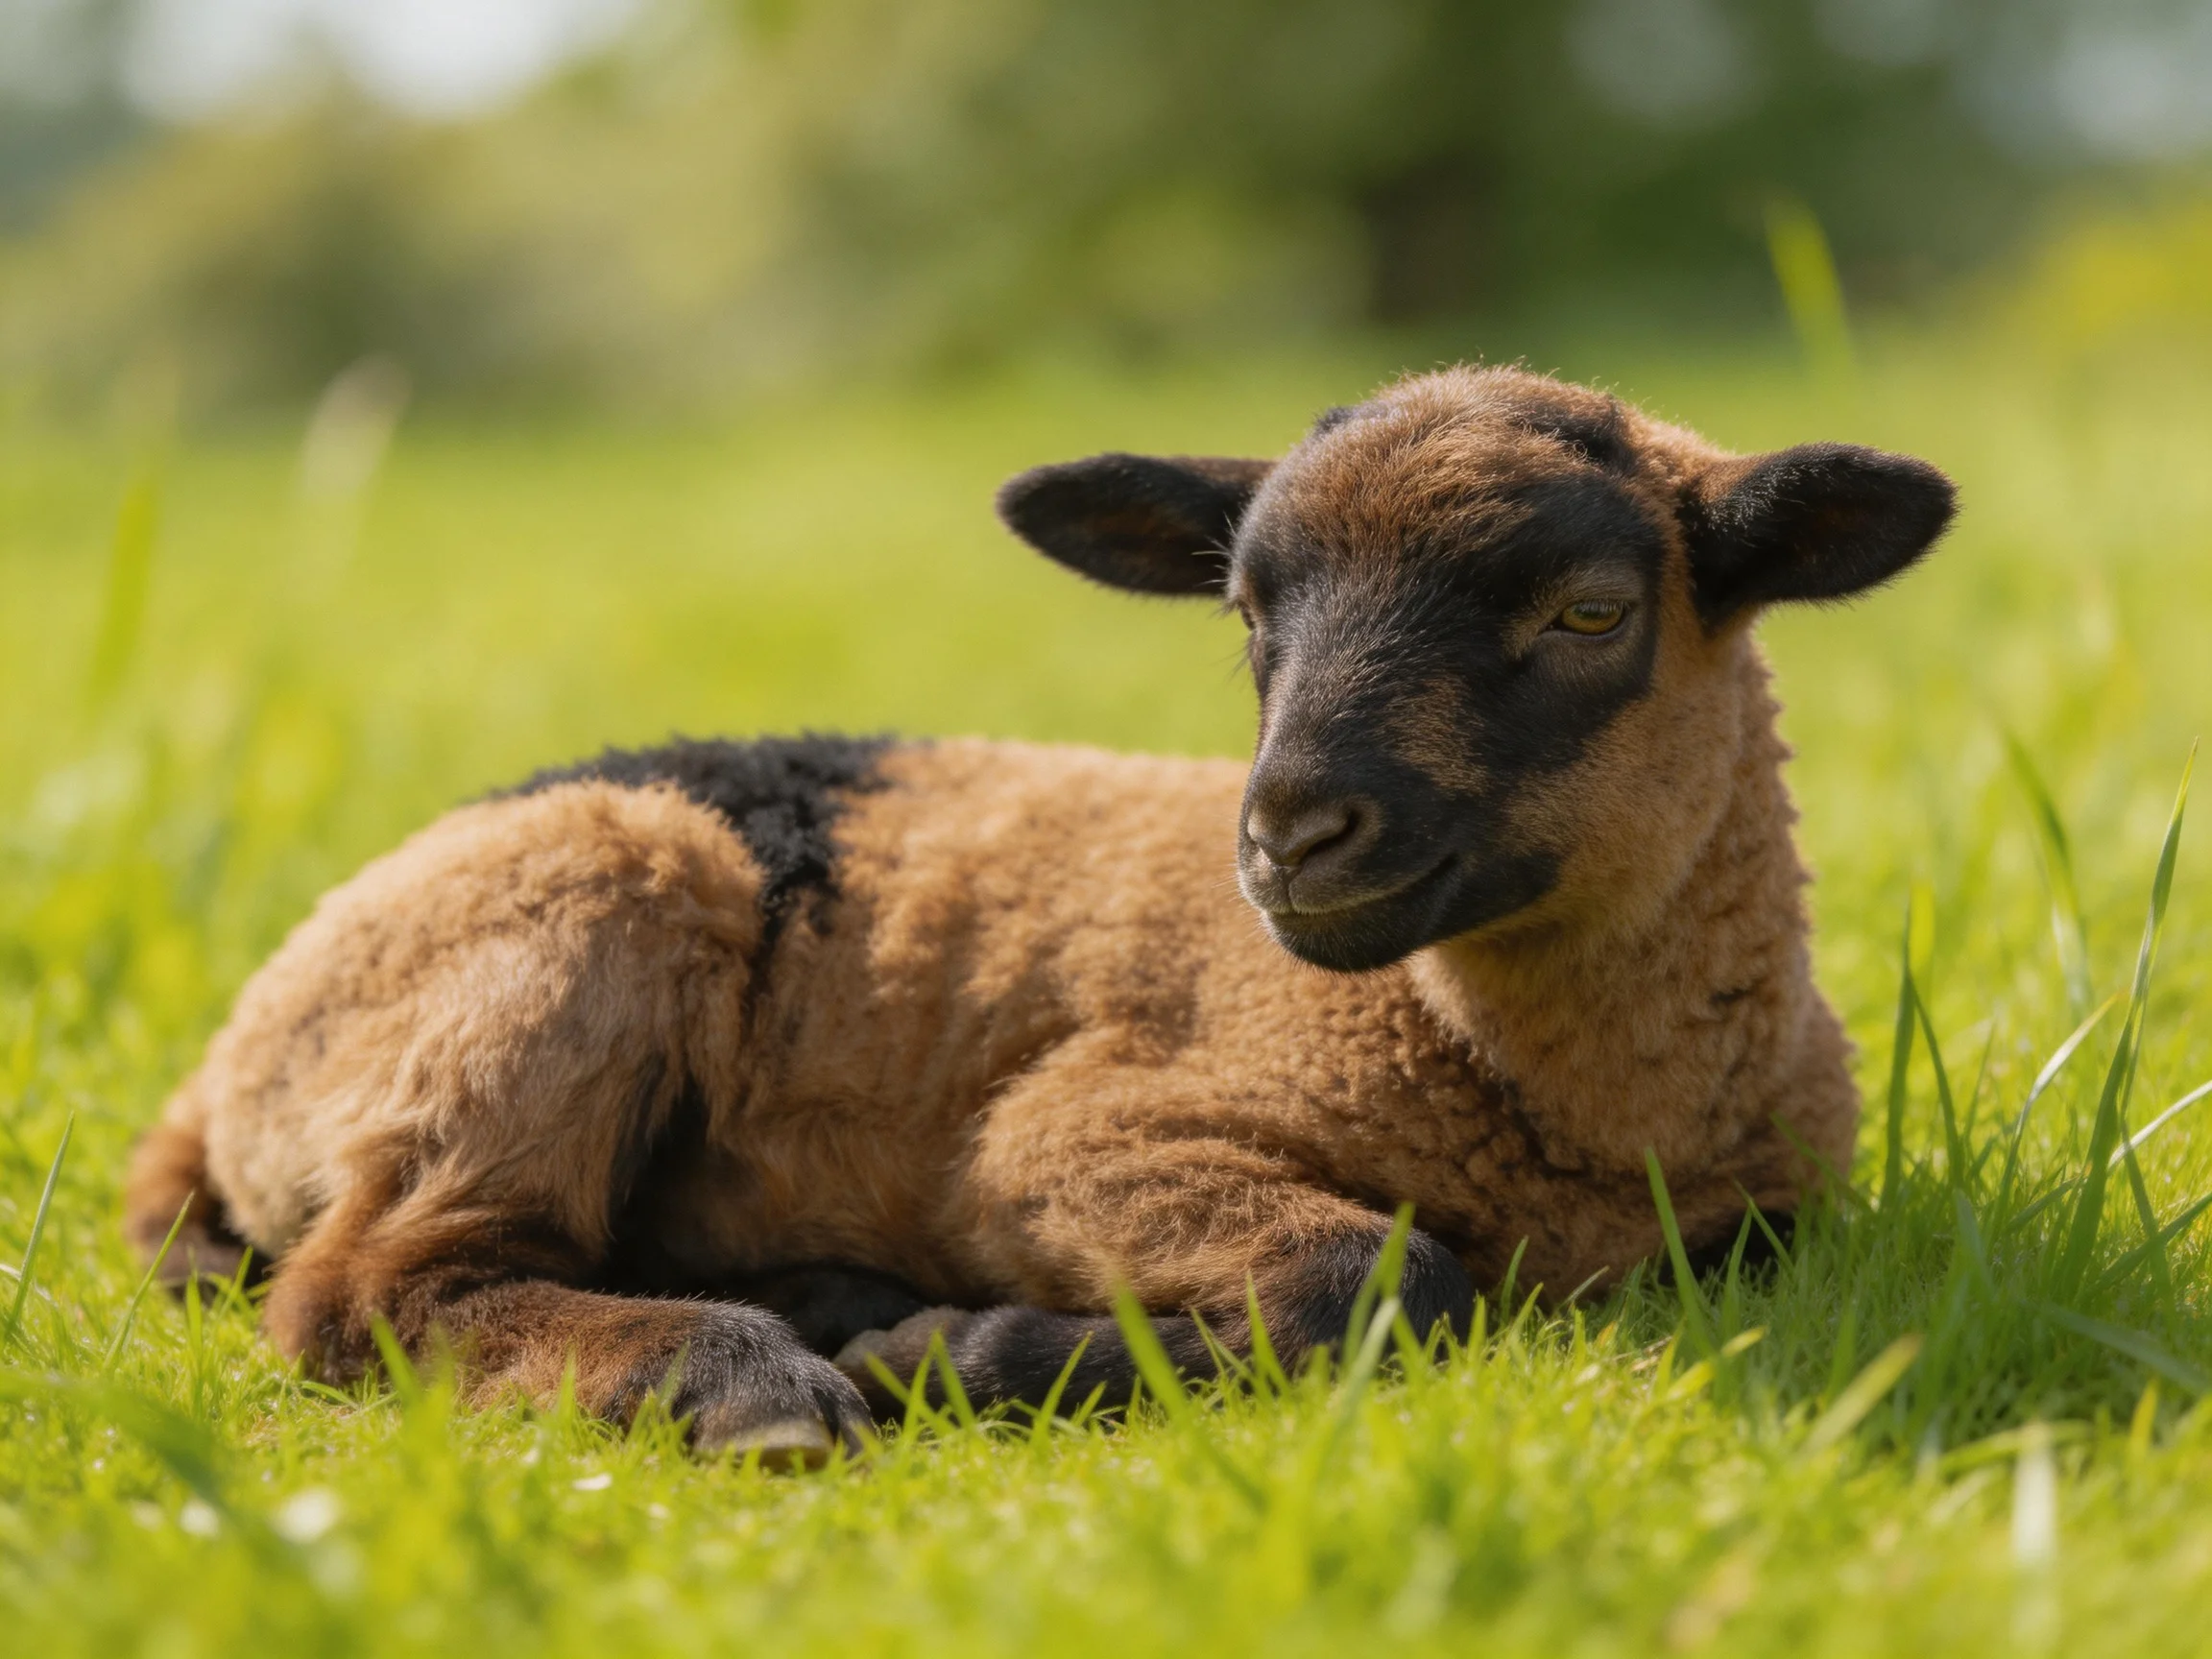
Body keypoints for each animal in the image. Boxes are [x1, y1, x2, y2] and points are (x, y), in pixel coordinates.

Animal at [123, 365, 1955, 1464]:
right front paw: (962, 1356)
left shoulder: (1766, 1217)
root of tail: (224, 1062)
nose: (1286, 835)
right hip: (564, 937)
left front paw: (939, 1341)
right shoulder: (1070, 1130)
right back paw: (752, 1382)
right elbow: (1371, 1282)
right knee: (375, 1287)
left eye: (1589, 613)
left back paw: (814, 1305)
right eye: (1245, 616)